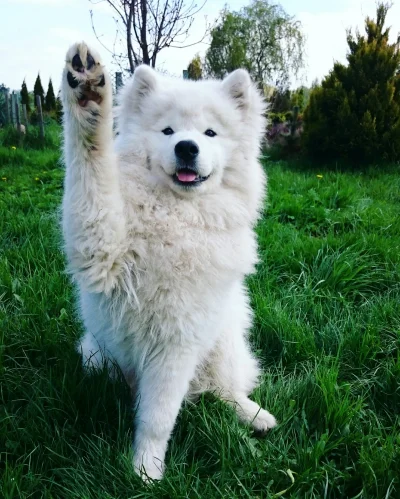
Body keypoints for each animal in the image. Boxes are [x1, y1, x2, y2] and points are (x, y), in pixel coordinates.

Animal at [61, 42, 276, 480]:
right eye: (168, 131)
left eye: (210, 133)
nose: (186, 148)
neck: (176, 215)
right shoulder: (100, 250)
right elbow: (91, 168)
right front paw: (87, 95)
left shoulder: (178, 341)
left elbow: (158, 417)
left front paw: (145, 470)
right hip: (97, 356)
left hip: (223, 341)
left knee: (225, 387)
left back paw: (255, 414)